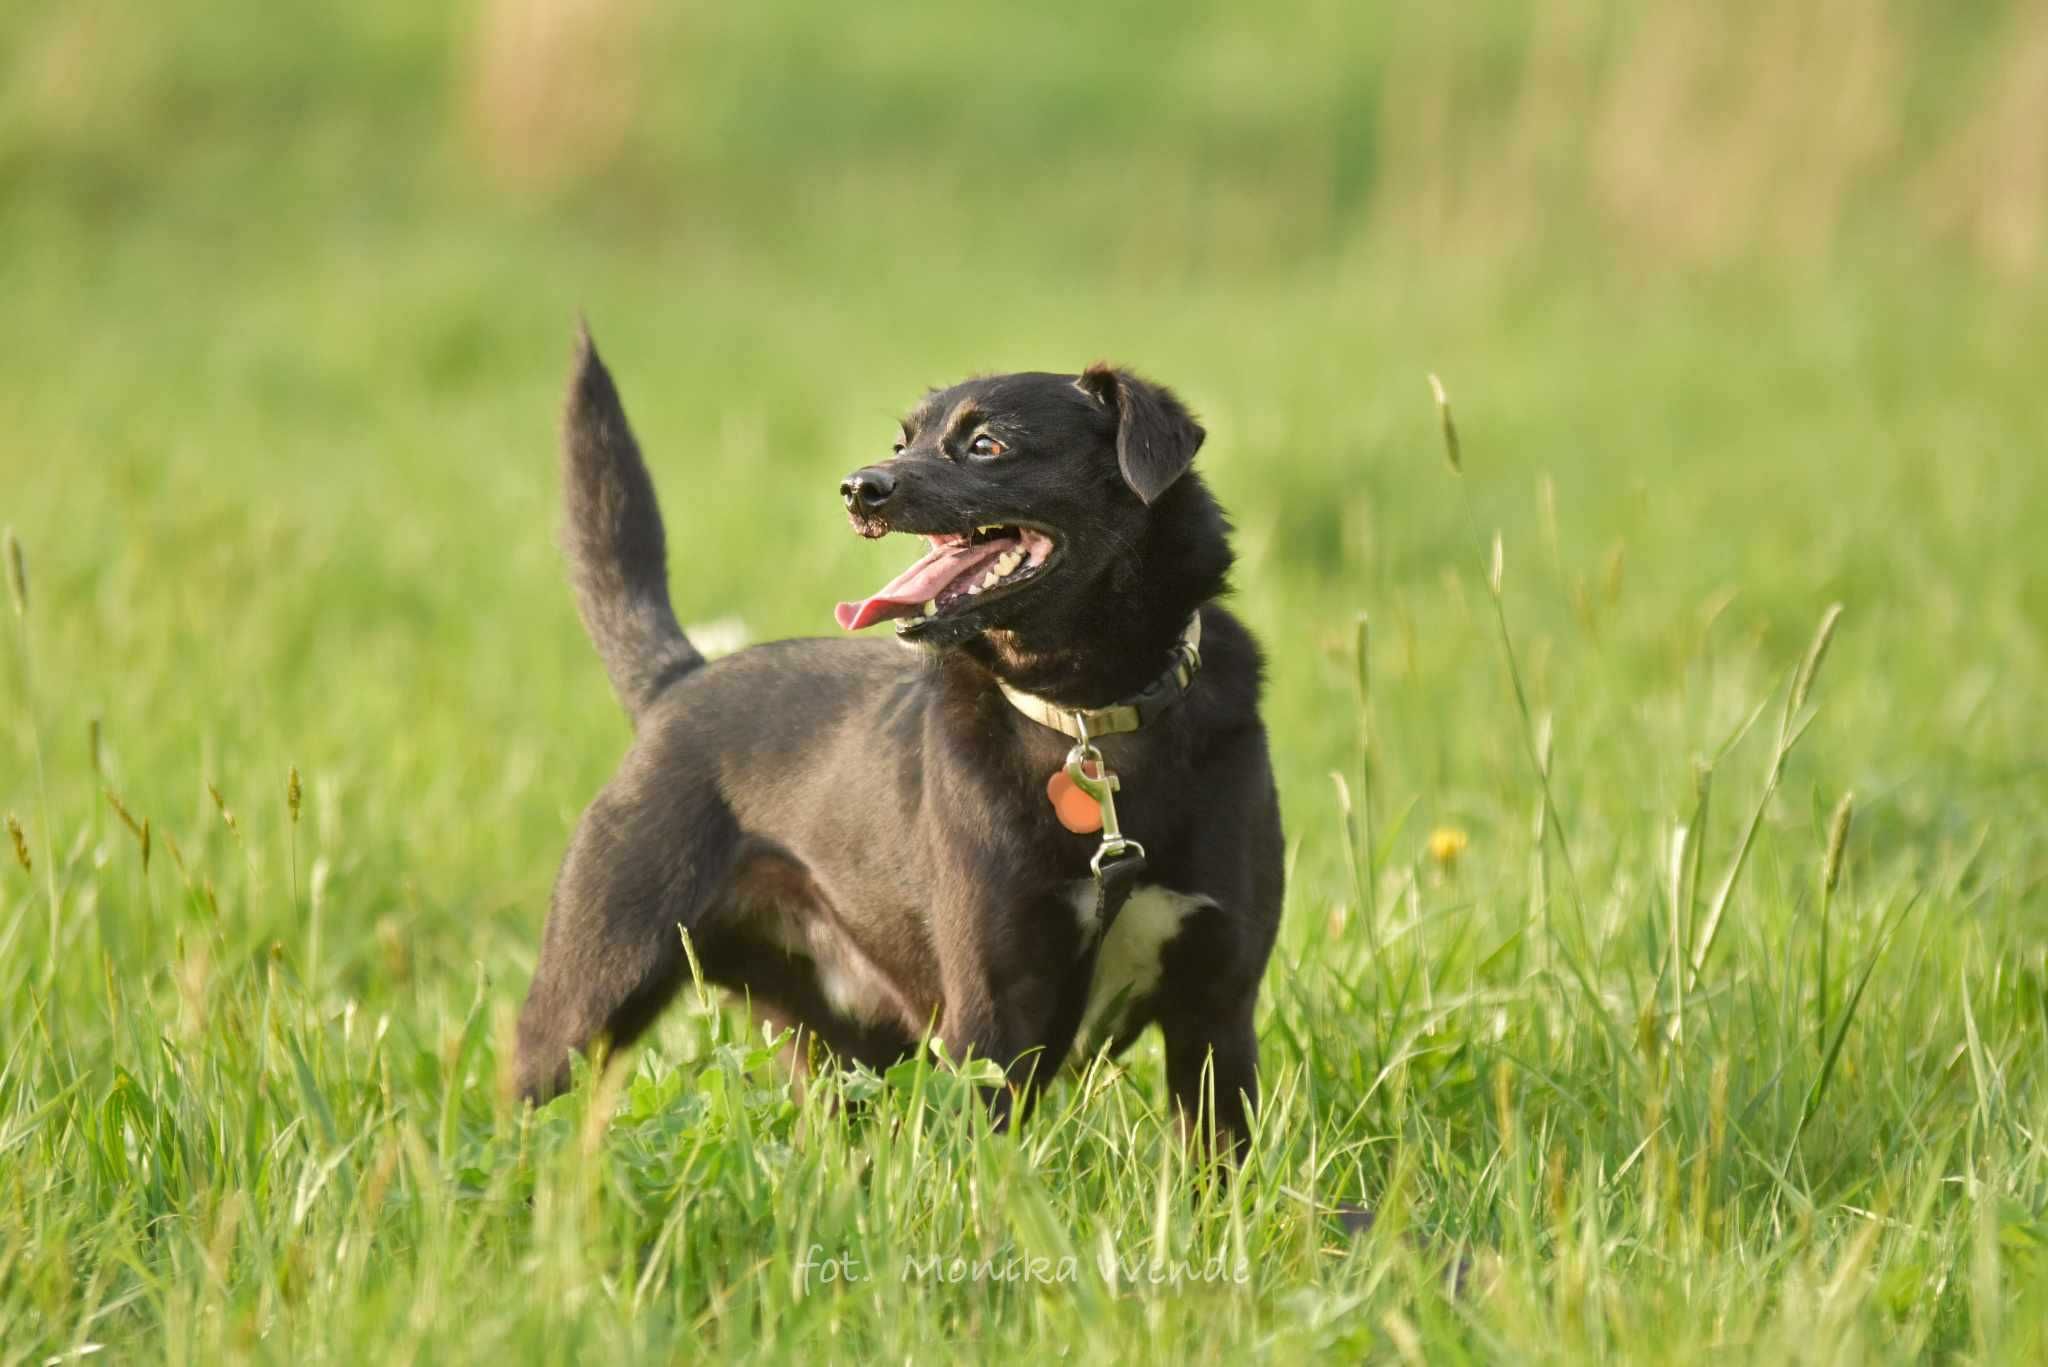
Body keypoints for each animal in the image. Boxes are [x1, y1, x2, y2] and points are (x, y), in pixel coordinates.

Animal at [512, 334, 1277, 1155]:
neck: (1084, 719)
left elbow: (1218, 1160)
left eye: (987, 444)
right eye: (903, 442)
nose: (859, 488)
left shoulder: (1215, 1012)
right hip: (589, 994)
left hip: (844, 1052)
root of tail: (677, 684)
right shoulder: (993, 1024)